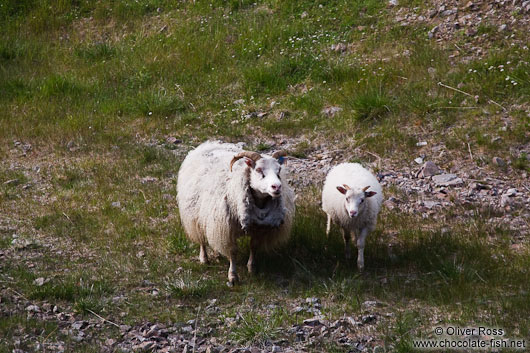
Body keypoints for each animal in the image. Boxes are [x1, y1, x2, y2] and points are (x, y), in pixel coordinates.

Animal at [176, 139, 292, 284]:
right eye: (259, 170)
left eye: (279, 170)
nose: (276, 187)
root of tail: (208, 144)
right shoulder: (227, 228)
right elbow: (233, 251)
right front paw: (233, 276)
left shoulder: (259, 227)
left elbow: (254, 246)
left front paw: (251, 268)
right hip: (194, 213)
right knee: (201, 236)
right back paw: (204, 258)